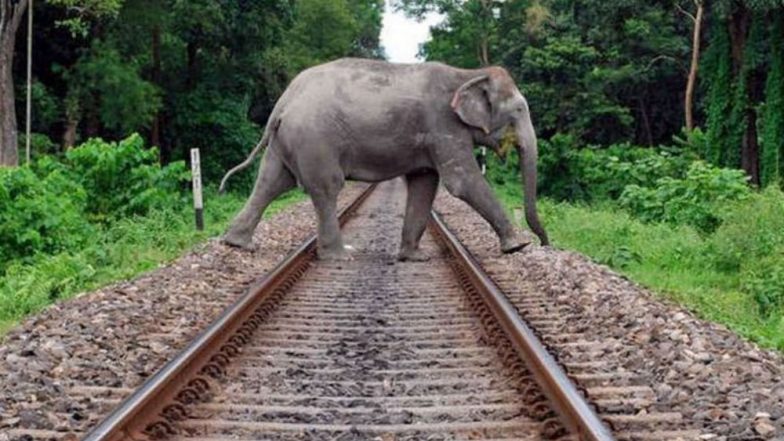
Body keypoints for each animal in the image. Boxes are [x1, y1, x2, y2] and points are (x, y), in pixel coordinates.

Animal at [219, 58, 549, 261]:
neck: (467, 74)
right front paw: (518, 245)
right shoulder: (442, 125)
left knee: (270, 182)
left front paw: (413, 257)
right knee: (326, 187)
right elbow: (461, 182)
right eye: (519, 110)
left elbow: (424, 183)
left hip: (287, 139)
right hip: (315, 139)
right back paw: (340, 256)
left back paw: (236, 243)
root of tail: (285, 100)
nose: (546, 243)